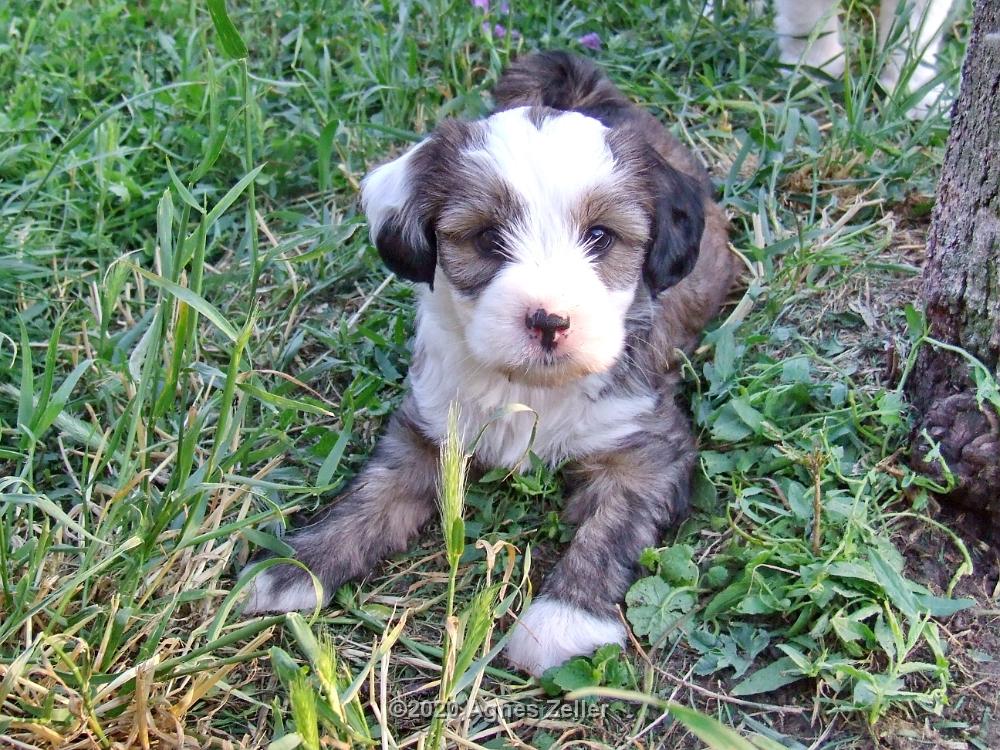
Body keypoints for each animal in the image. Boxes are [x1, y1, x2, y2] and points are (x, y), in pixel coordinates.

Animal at [246, 51, 740, 676]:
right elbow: (372, 494)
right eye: (486, 238)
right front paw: (298, 566)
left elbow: (614, 525)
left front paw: (564, 618)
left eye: (601, 237)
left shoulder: (649, 446)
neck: (531, 387)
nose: (549, 321)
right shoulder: (432, 426)